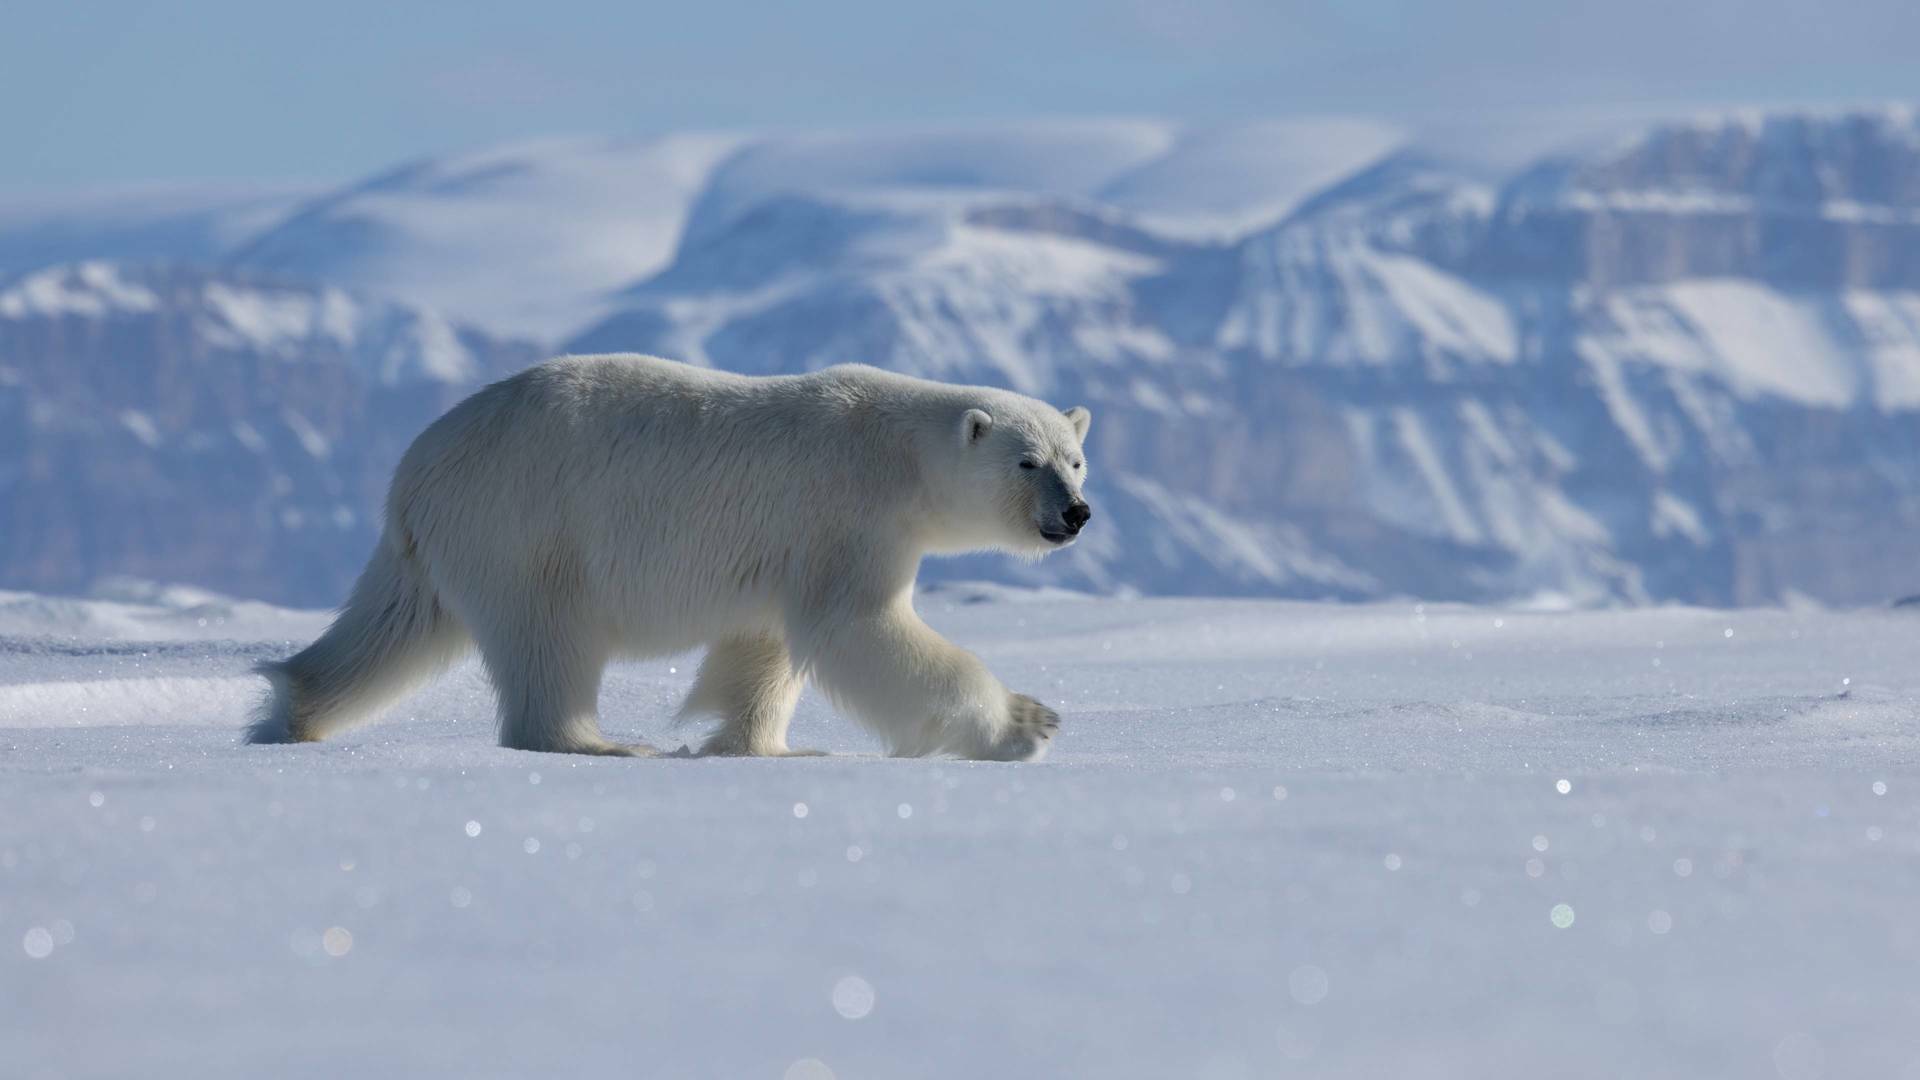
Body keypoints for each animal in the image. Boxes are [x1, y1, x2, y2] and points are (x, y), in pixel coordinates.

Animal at [249, 353, 1098, 757]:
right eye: (1028, 462)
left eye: (1076, 457)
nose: (1076, 512)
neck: (897, 454)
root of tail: (414, 470)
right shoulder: (846, 516)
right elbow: (861, 629)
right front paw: (1026, 724)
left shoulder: (789, 547)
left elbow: (764, 650)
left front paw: (762, 746)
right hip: (530, 527)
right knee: (550, 640)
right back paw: (601, 741)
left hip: (441, 546)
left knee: (391, 626)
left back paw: (291, 712)